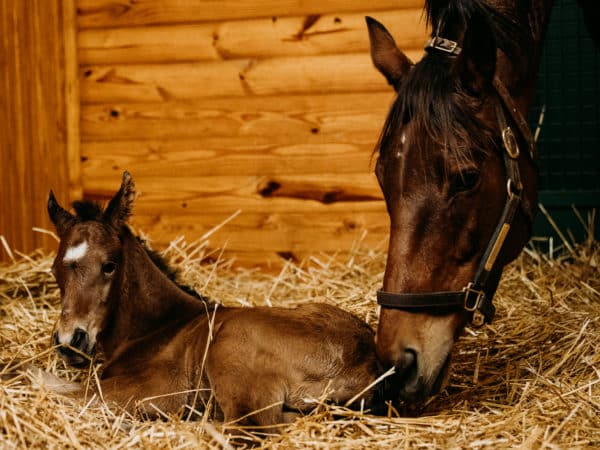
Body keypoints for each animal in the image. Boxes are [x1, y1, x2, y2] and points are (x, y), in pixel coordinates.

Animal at [44, 171, 378, 428]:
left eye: (109, 265)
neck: (155, 328)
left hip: (230, 346)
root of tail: (366, 362)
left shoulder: (150, 390)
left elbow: (52, 388)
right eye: (54, 269)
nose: (69, 341)